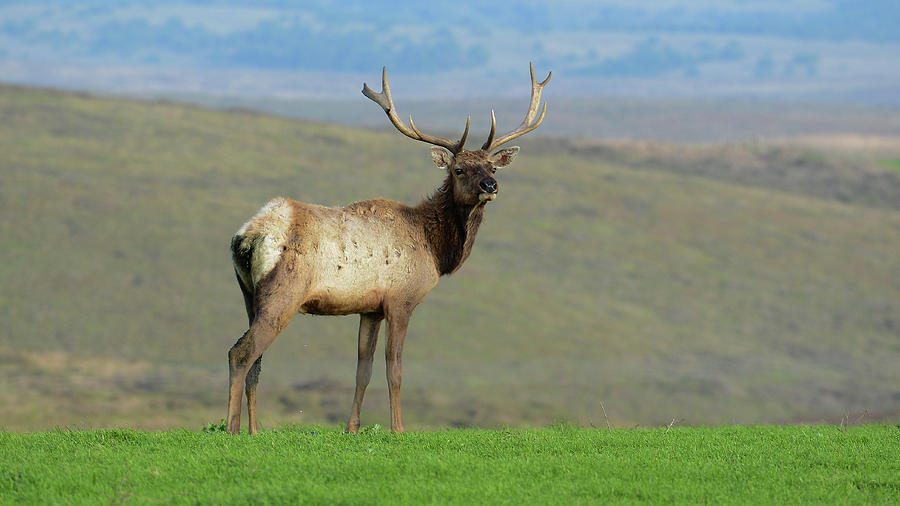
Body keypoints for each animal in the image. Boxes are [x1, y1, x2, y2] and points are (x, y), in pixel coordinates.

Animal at [227, 63, 548, 434]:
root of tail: (247, 237)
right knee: (241, 353)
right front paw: (398, 428)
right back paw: (230, 428)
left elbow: (362, 371)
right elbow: (394, 369)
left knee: (255, 361)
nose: (490, 185)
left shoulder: (370, 308)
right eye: (459, 169)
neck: (434, 248)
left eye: (492, 166)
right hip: (282, 295)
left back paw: (253, 430)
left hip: (249, 295)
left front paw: (351, 427)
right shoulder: (400, 300)